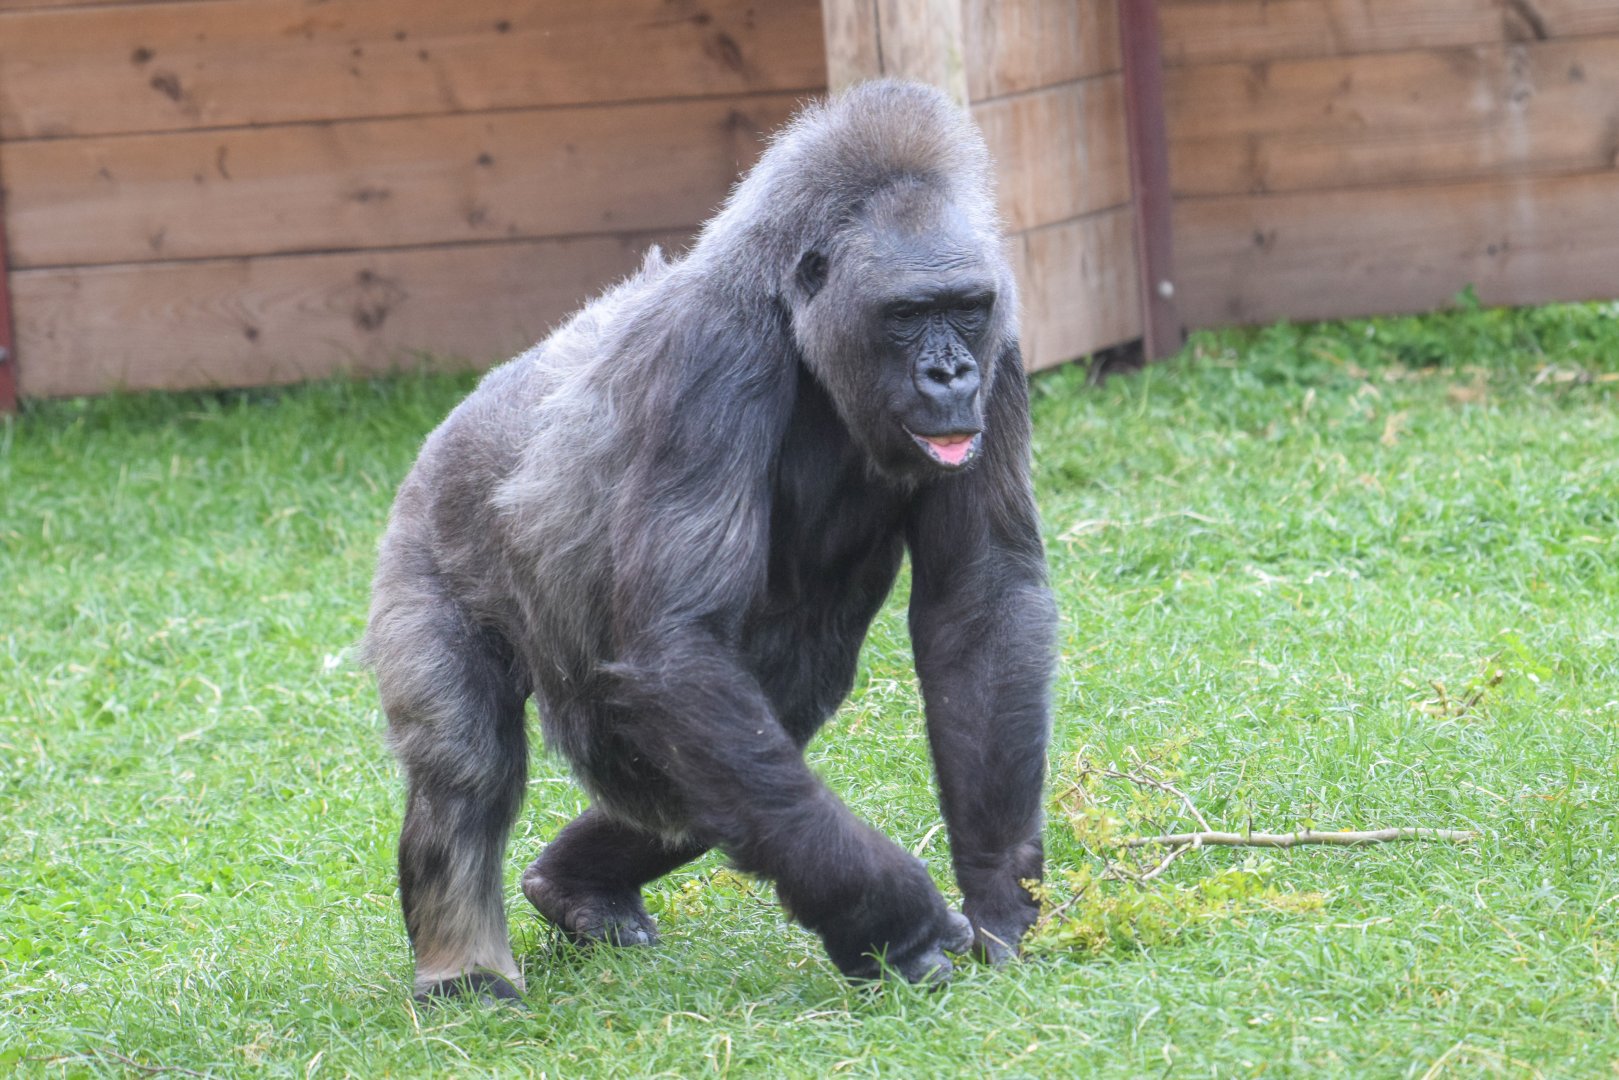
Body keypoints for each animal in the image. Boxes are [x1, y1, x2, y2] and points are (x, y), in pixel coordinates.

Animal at [363, 78, 1057, 1001]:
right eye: (909, 315)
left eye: (965, 310)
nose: (949, 374)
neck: (799, 323)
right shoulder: (713, 355)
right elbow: (678, 645)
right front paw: (890, 915)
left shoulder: (1003, 353)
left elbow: (980, 604)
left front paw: (997, 886)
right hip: (425, 537)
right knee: (467, 768)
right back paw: (465, 968)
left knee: (734, 744)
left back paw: (575, 885)